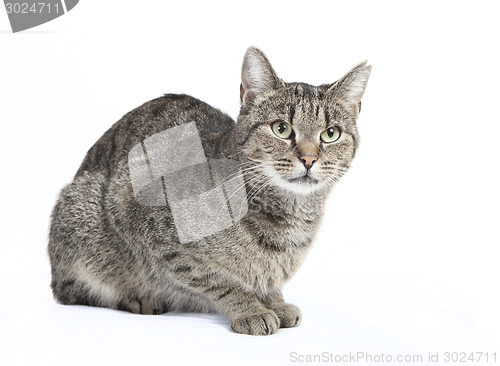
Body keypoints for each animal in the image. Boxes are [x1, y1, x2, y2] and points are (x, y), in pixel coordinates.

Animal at [48, 47, 372, 336]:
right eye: (281, 129)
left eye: (330, 134)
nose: (308, 158)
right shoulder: (153, 230)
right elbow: (219, 281)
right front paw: (251, 308)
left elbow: (268, 278)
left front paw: (275, 301)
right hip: (81, 212)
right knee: (71, 290)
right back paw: (138, 298)